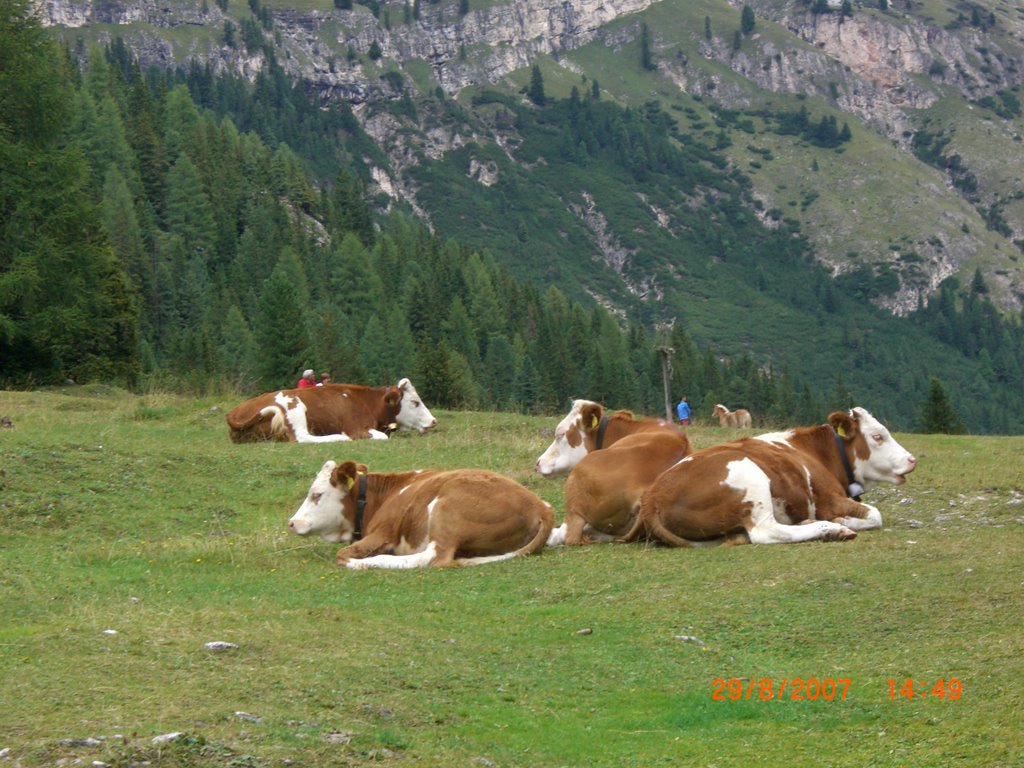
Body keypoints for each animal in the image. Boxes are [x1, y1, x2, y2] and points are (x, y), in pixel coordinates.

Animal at [228, 378, 436, 444]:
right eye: (415, 402)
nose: (434, 421)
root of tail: (234, 412)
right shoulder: (356, 429)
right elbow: (382, 437)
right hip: (295, 406)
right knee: (302, 438)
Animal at [288, 460, 557, 569]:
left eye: (317, 495)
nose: (292, 523)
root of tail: (541, 506)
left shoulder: (382, 533)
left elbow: (342, 554)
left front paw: (357, 560)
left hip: (446, 508)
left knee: (433, 558)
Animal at [618, 409, 917, 548]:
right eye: (878, 436)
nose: (912, 459)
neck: (821, 453)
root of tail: (653, 497)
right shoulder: (829, 499)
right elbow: (876, 515)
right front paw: (843, 521)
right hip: (750, 476)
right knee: (767, 531)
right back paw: (831, 529)